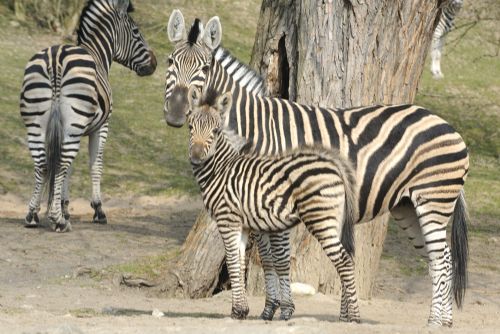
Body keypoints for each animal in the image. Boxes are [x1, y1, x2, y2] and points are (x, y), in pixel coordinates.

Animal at [20, 0, 156, 234]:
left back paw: (32, 215)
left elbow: (69, 170)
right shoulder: (101, 127)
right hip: (71, 125)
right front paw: (97, 210)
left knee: (43, 164)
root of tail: (55, 58)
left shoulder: (72, 129)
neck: (97, 53)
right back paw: (58, 220)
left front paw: (64, 207)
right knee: (60, 163)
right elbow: (95, 165)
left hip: (37, 124)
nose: (155, 63)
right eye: (136, 32)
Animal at [186, 87, 362, 322]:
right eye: (190, 127)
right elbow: (240, 262)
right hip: (335, 221)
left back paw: (354, 317)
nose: (196, 158)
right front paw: (242, 310)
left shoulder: (227, 219)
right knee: (348, 260)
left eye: (215, 131)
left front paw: (236, 311)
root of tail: (334, 162)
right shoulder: (242, 225)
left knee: (344, 261)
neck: (221, 168)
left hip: (320, 219)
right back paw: (345, 316)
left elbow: (232, 262)